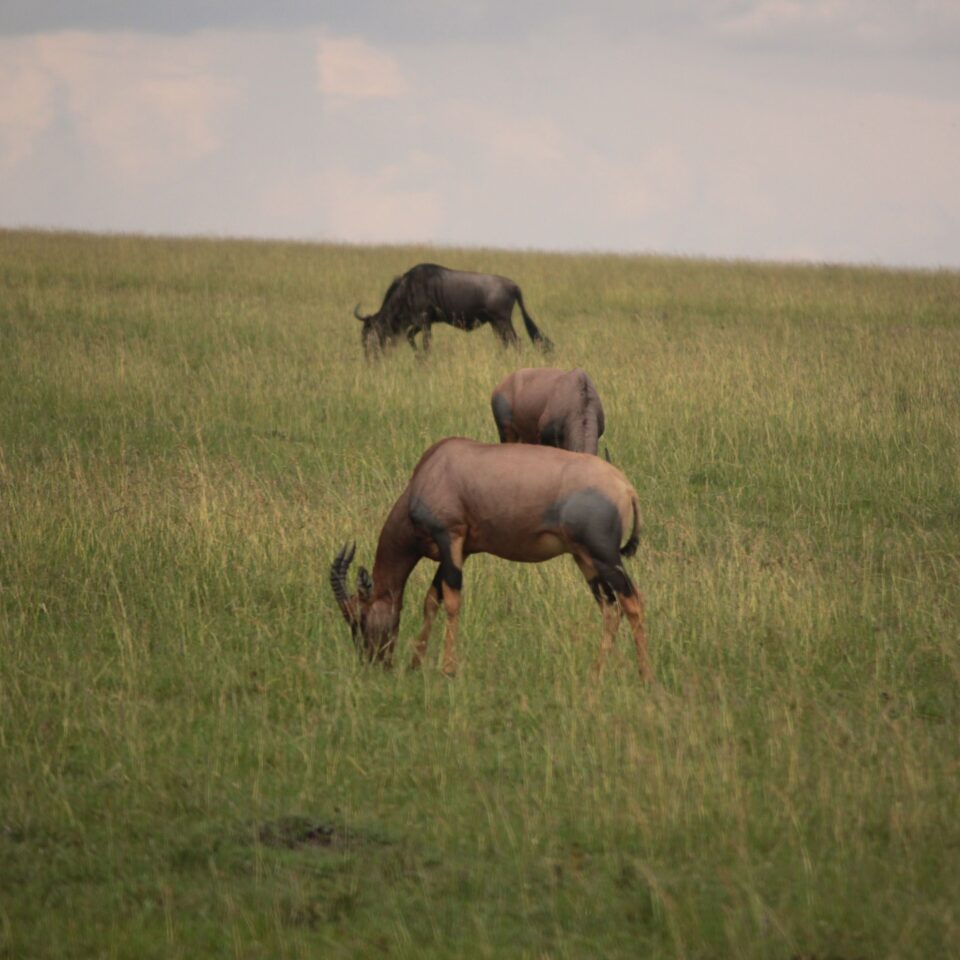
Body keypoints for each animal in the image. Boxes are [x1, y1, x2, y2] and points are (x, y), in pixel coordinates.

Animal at [326, 438, 648, 680]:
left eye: (358, 616)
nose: (373, 664)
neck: (435, 467)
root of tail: (626, 487)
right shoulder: (460, 550)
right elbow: (432, 599)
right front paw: (416, 664)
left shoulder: (449, 536)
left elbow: (452, 599)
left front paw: (448, 670)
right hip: (585, 560)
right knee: (610, 608)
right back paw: (596, 673)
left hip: (604, 555)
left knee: (632, 602)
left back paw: (644, 677)